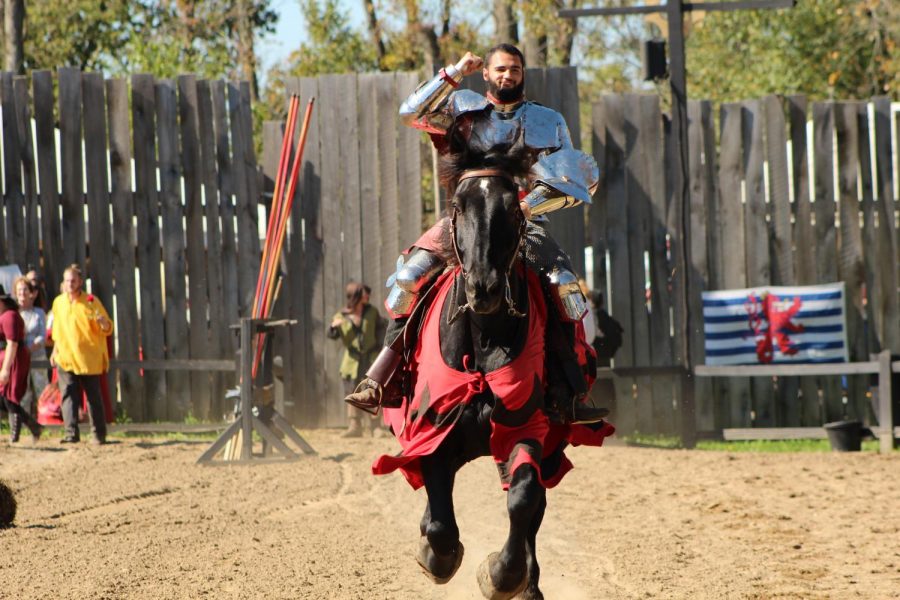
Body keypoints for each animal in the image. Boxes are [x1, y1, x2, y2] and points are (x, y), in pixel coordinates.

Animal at [382, 146, 560, 600]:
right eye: (458, 207)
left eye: (513, 207)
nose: (484, 287)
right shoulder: (432, 430)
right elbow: (440, 522)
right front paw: (436, 557)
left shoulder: (525, 428)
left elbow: (524, 498)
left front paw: (502, 575)